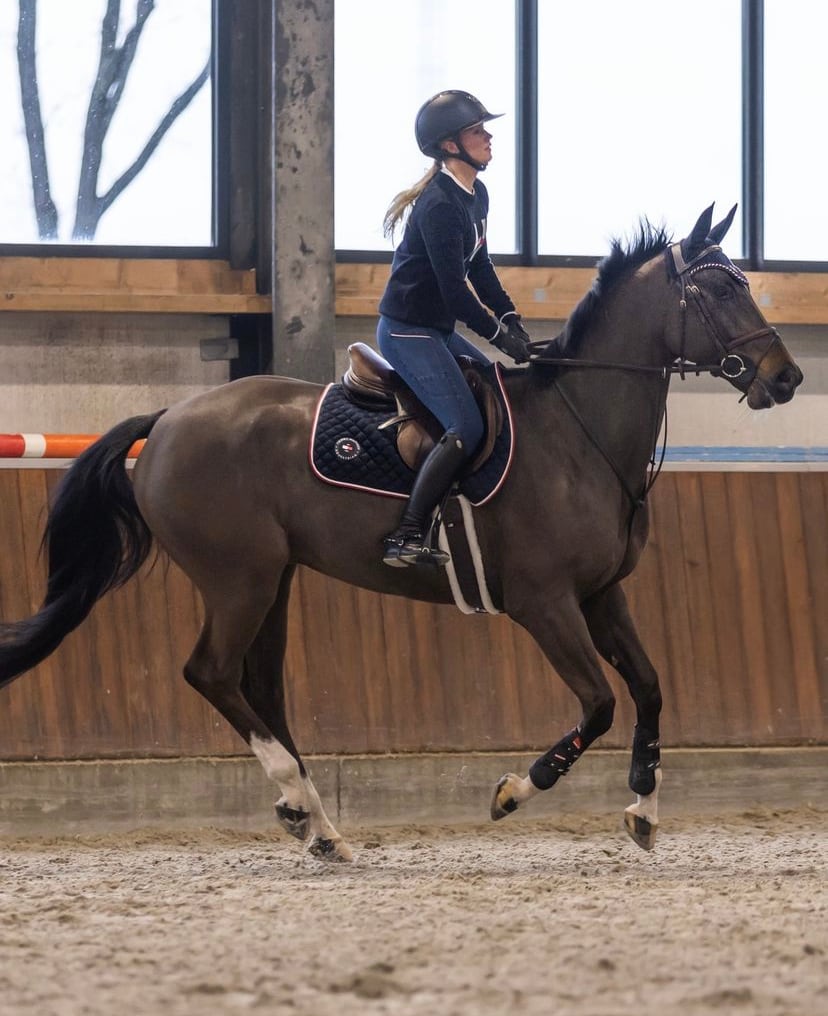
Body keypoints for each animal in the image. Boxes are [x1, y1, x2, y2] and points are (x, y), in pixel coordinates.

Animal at [0, 204, 803, 861]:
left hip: (273, 579)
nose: (786, 377)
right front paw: (514, 791)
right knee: (213, 674)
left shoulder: (603, 594)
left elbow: (650, 688)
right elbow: (601, 702)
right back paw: (300, 801)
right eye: (720, 290)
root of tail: (168, 418)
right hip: (238, 579)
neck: (580, 432)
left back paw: (316, 824)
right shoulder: (545, 603)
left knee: (261, 685)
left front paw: (643, 809)